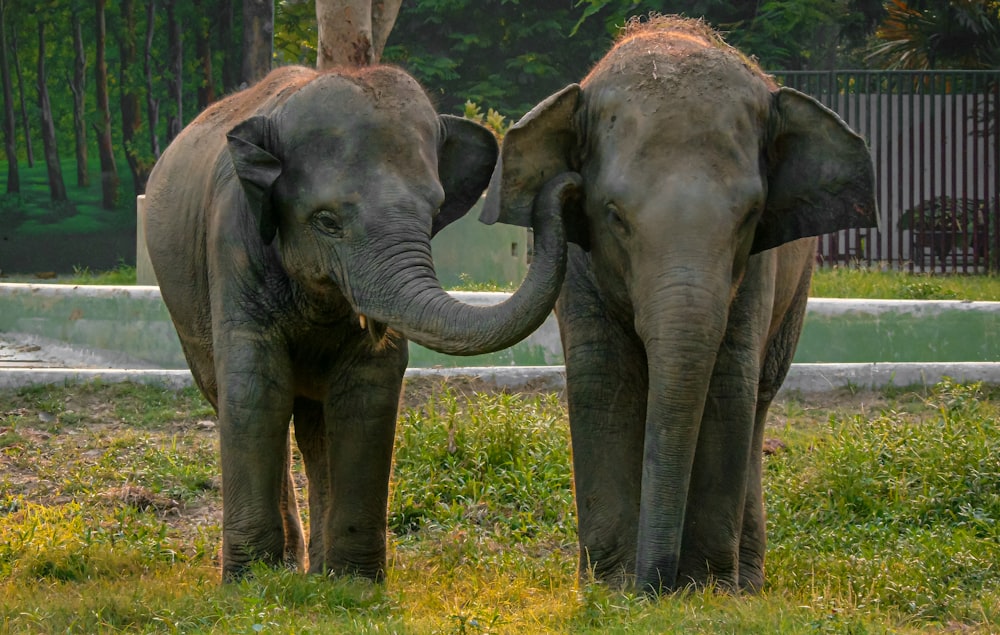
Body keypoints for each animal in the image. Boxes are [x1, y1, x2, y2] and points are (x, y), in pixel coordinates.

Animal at [144, 64, 576, 580]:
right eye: (326, 221)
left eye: (435, 211)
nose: (569, 183)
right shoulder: (231, 243)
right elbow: (254, 388)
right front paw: (250, 582)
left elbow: (368, 390)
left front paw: (353, 583)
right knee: (245, 399)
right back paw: (287, 568)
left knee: (314, 427)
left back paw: (316, 570)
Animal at [480, 16, 880, 596]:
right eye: (614, 215)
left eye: (750, 215)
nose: (655, 588)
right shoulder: (580, 264)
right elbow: (603, 377)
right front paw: (612, 585)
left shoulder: (757, 267)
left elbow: (727, 380)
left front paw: (706, 590)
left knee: (758, 396)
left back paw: (745, 581)